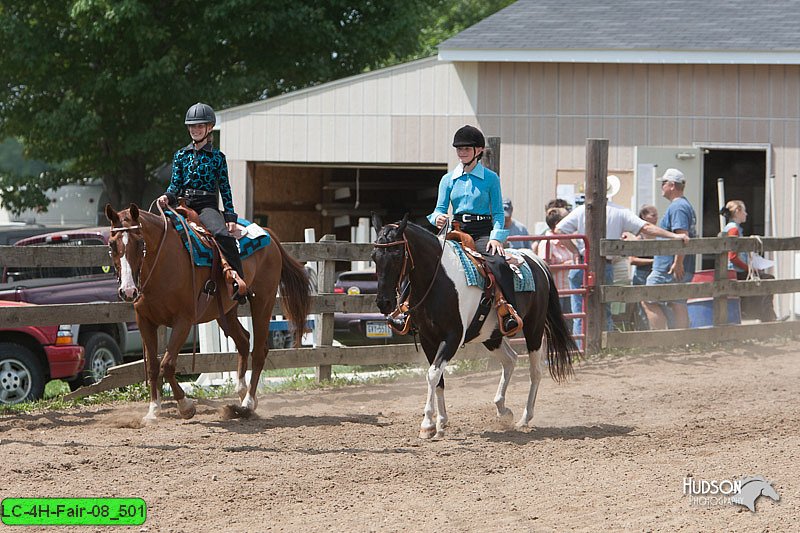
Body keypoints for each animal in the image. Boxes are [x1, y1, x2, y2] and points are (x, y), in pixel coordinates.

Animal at [104, 203, 310, 420]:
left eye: (140, 242)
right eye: (112, 244)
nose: (128, 291)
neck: (162, 264)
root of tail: (267, 233)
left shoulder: (183, 321)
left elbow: (167, 365)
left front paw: (186, 406)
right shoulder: (144, 321)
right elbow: (153, 366)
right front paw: (153, 411)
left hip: (264, 301)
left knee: (259, 351)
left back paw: (247, 403)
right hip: (227, 311)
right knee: (244, 340)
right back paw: (242, 392)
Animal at [372, 214, 580, 438]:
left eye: (396, 255)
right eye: (374, 256)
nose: (383, 302)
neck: (439, 281)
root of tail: (535, 260)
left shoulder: (453, 337)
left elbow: (433, 375)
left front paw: (427, 424)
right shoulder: (428, 338)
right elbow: (437, 378)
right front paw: (441, 422)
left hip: (534, 327)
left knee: (535, 371)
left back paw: (525, 418)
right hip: (491, 335)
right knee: (510, 360)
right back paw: (503, 410)